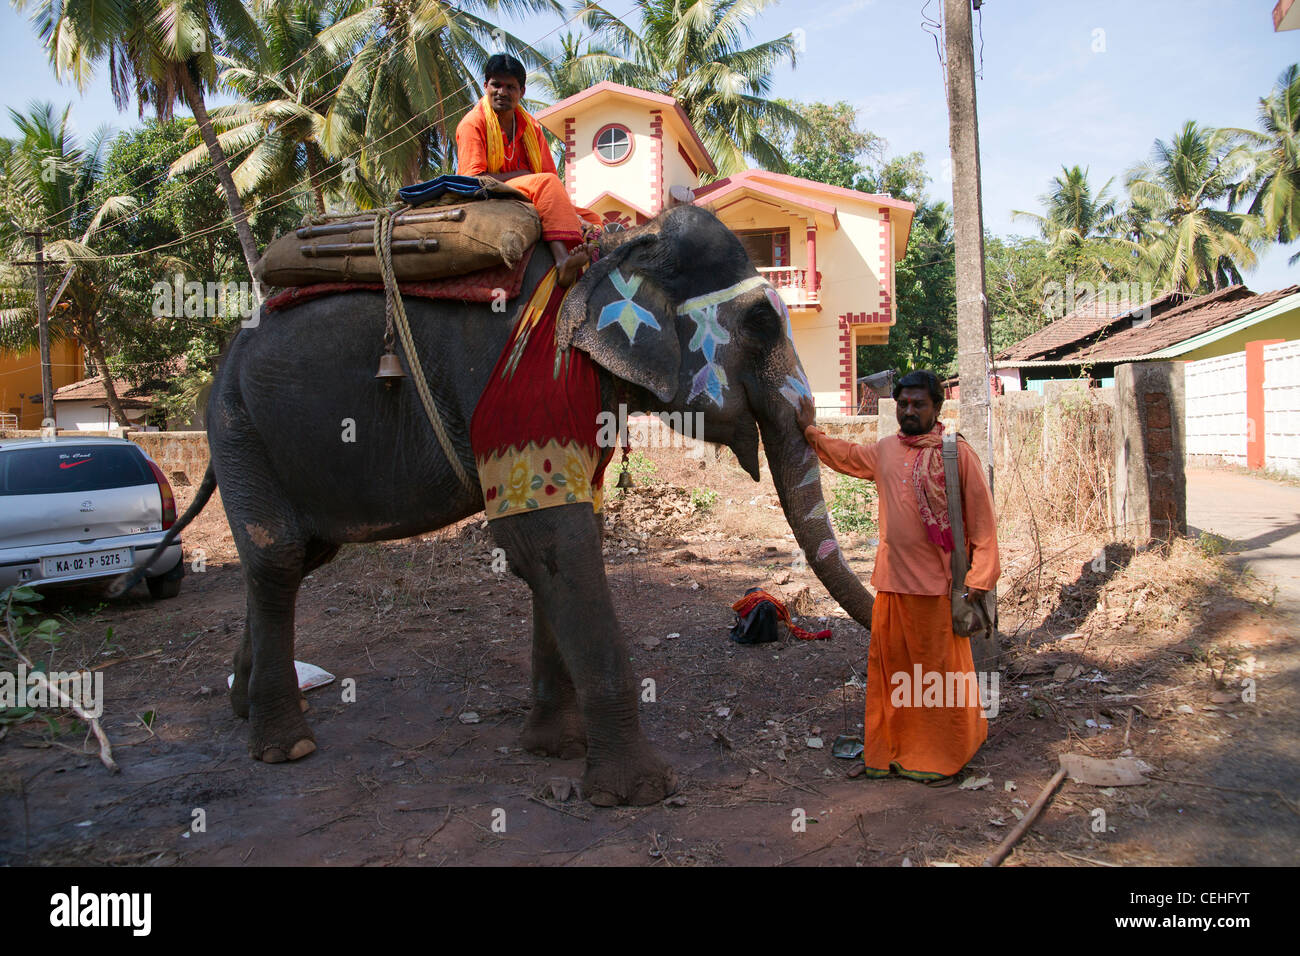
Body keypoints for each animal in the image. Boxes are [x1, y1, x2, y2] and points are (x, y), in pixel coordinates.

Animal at [131, 204, 878, 806]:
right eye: (760, 322)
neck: (611, 244)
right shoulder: (529, 387)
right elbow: (549, 540)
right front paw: (636, 794)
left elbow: (560, 540)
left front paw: (555, 749)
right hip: (237, 426)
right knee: (279, 555)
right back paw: (286, 748)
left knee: (303, 554)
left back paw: (240, 706)